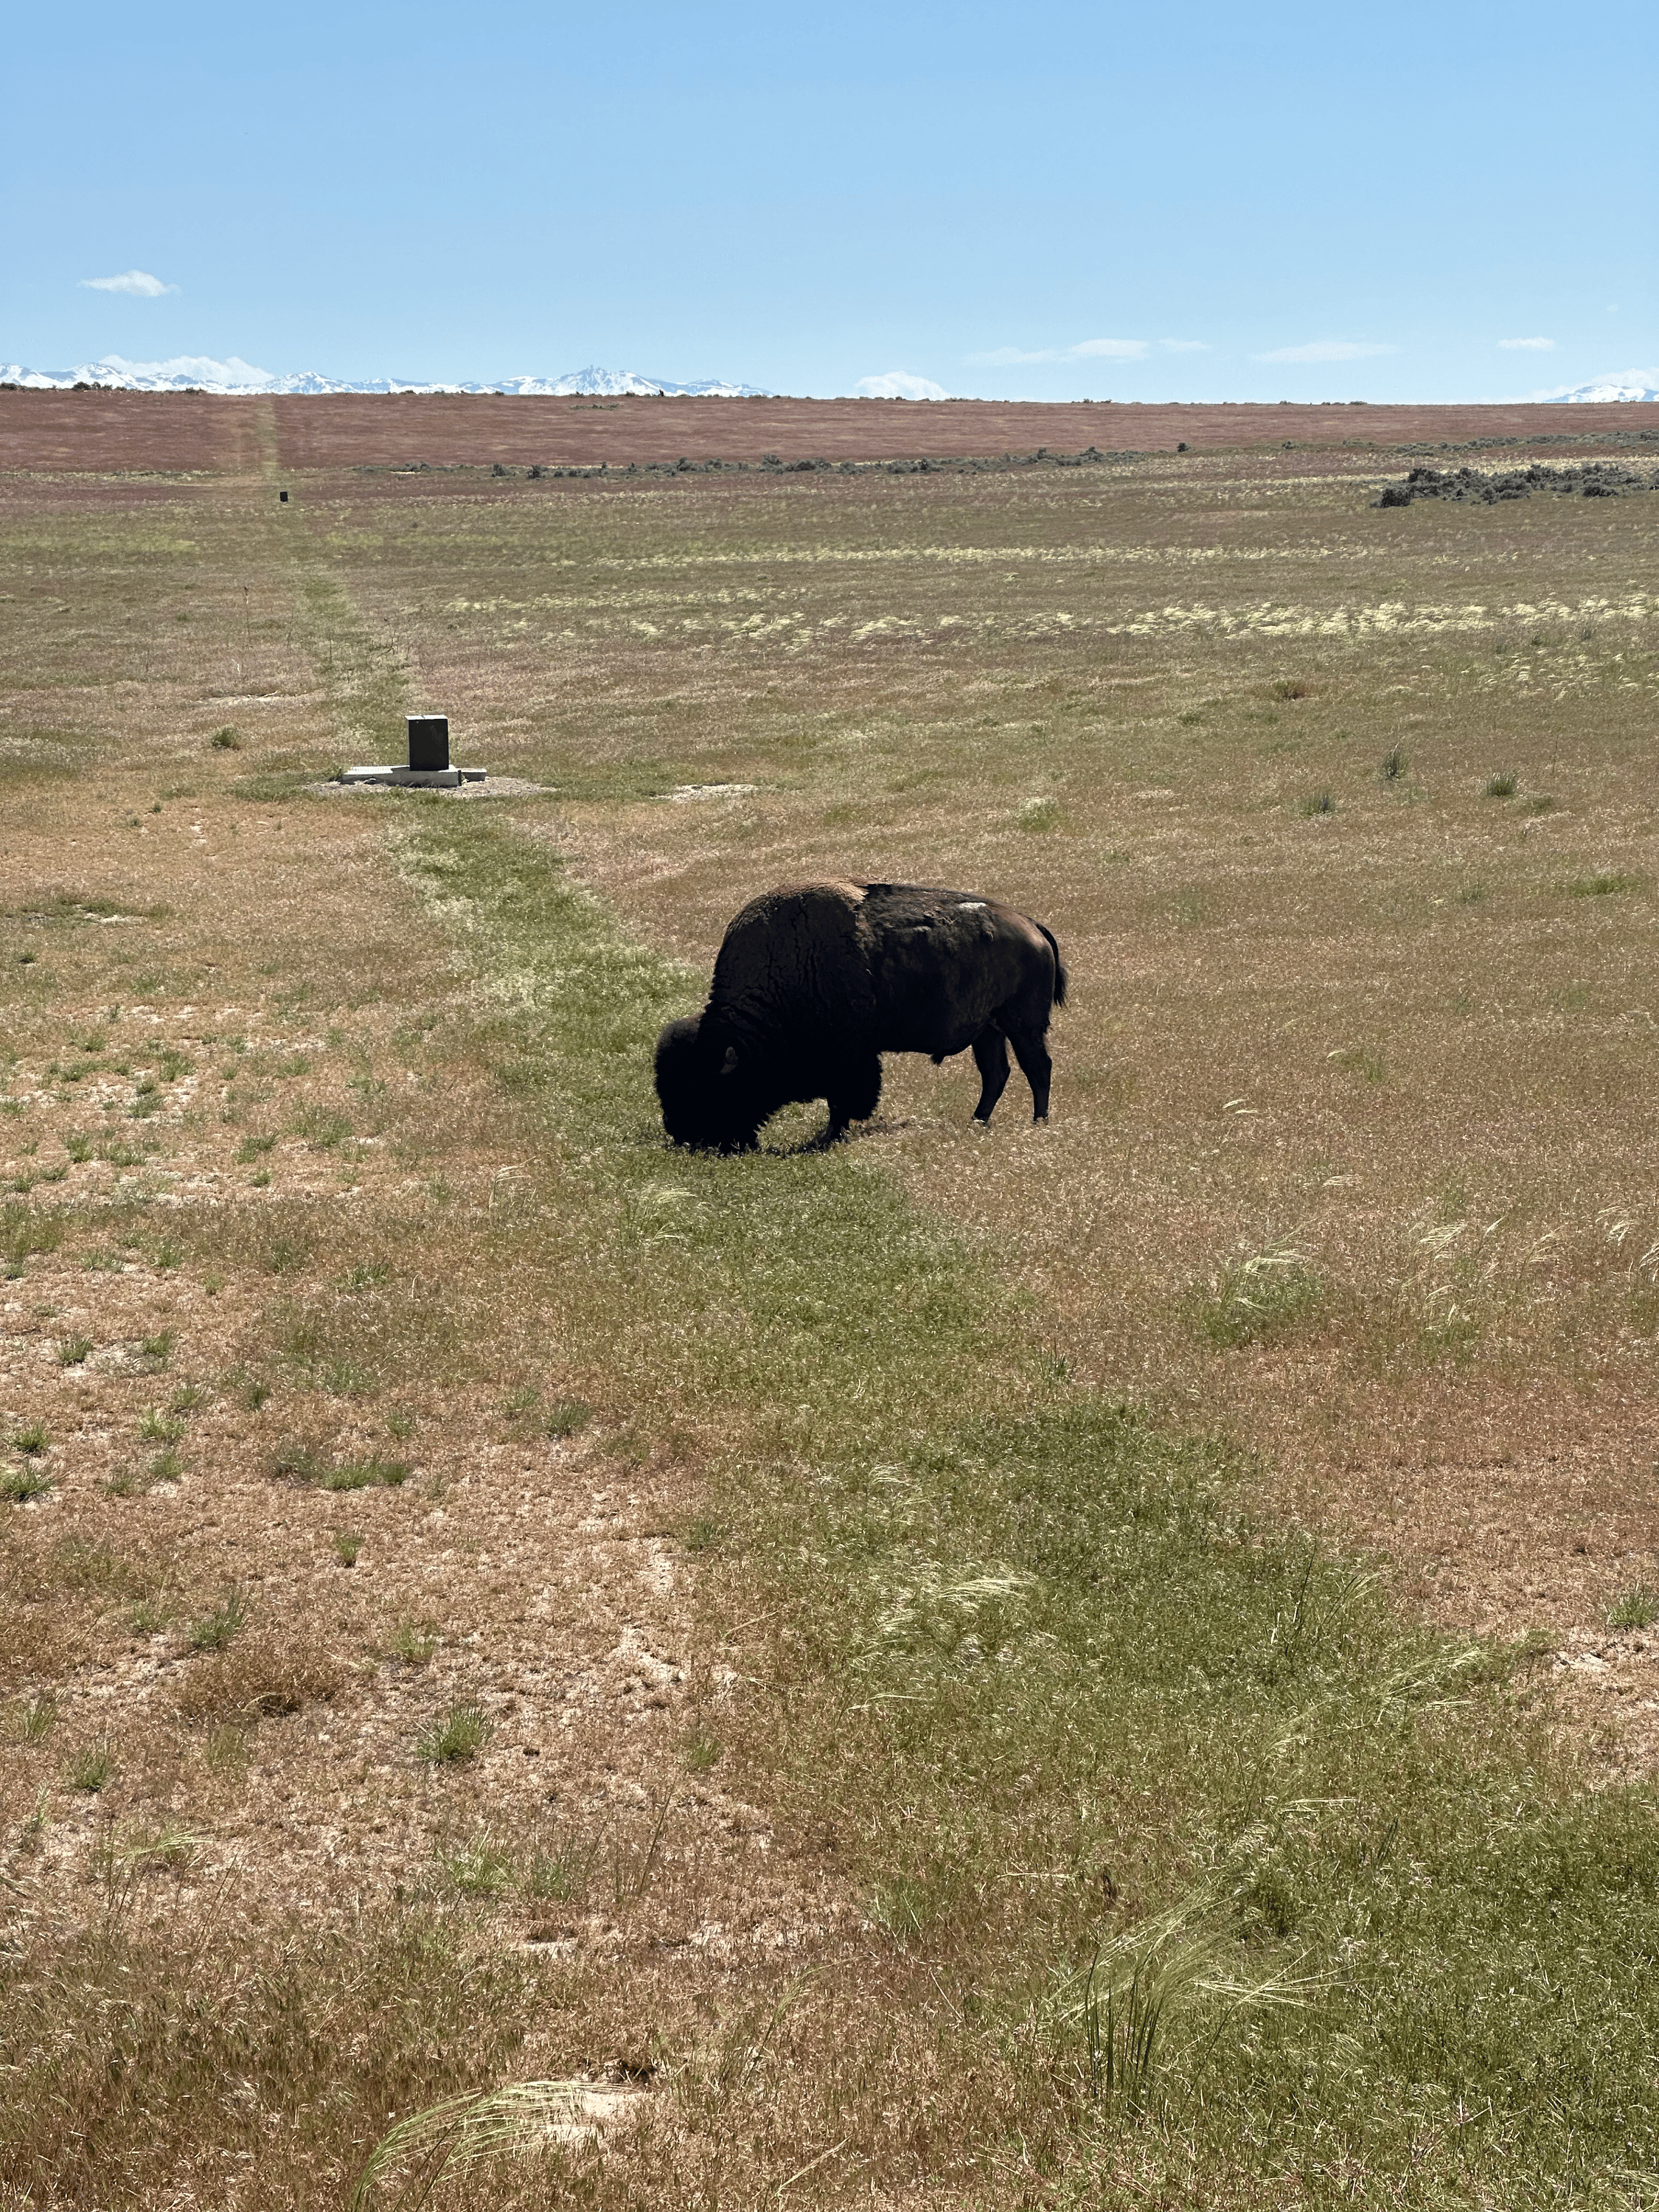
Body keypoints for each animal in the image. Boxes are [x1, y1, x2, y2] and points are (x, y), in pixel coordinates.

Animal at [655, 880, 1071, 1159]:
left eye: (702, 1088)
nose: (684, 1137)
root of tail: (1033, 926)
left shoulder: (850, 1060)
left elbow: (843, 1101)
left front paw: (829, 1138)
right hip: (988, 1031)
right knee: (996, 1074)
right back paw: (977, 1122)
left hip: (1023, 1026)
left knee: (1038, 1068)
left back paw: (1038, 1123)